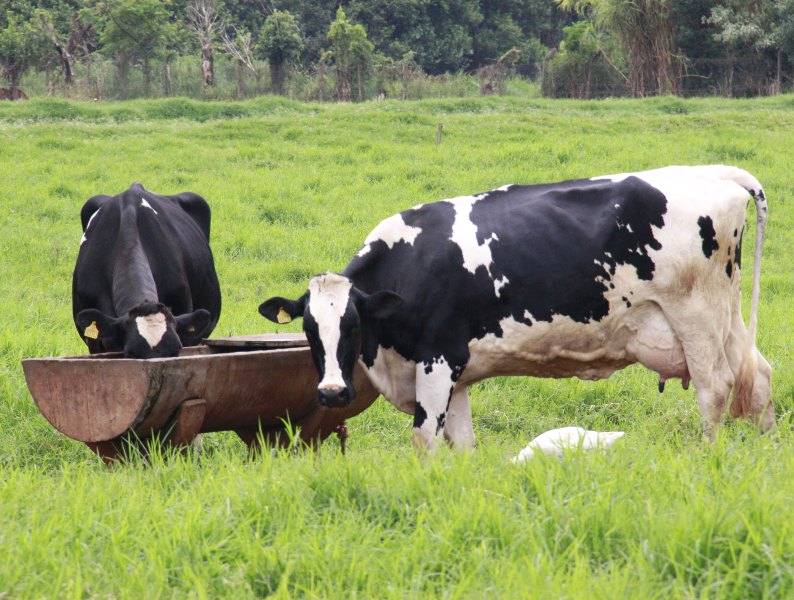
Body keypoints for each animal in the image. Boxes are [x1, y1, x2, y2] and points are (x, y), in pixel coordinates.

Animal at [262, 166, 772, 448]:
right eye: (309, 330)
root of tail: (717, 173)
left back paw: (705, 457)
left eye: (352, 325)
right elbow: (463, 445)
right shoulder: (457, 375)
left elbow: (425, 439)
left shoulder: (438, 358)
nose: (331, 393)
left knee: (714, 390)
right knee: (760, 376)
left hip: (696, 318)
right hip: (725, 319)